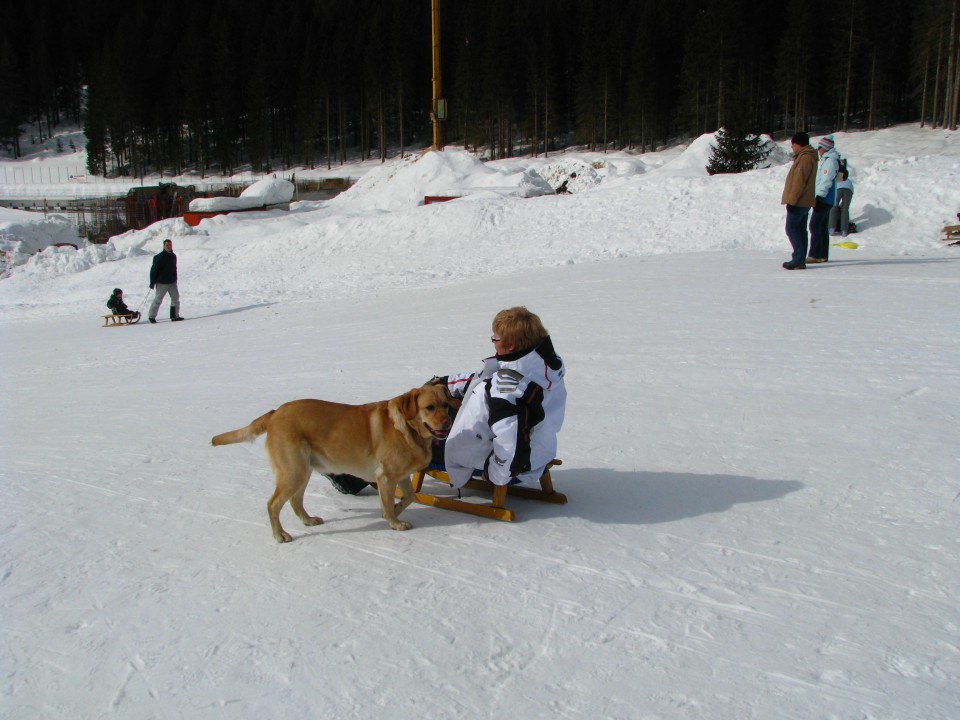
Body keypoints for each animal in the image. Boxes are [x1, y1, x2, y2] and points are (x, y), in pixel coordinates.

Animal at [210, 386, 454, 544]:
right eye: (429, 407)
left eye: (445, 405)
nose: (447, 422)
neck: (408, 429)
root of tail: (274, 413)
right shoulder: (385, 476)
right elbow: (388, 503)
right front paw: (394, 523)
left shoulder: (400, 476)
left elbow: (409, 497)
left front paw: (395, 510)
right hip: (293, 473)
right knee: (273, 504)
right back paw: (280, 535)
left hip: (303, 472)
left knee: (295, 502)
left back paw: (308, 520)